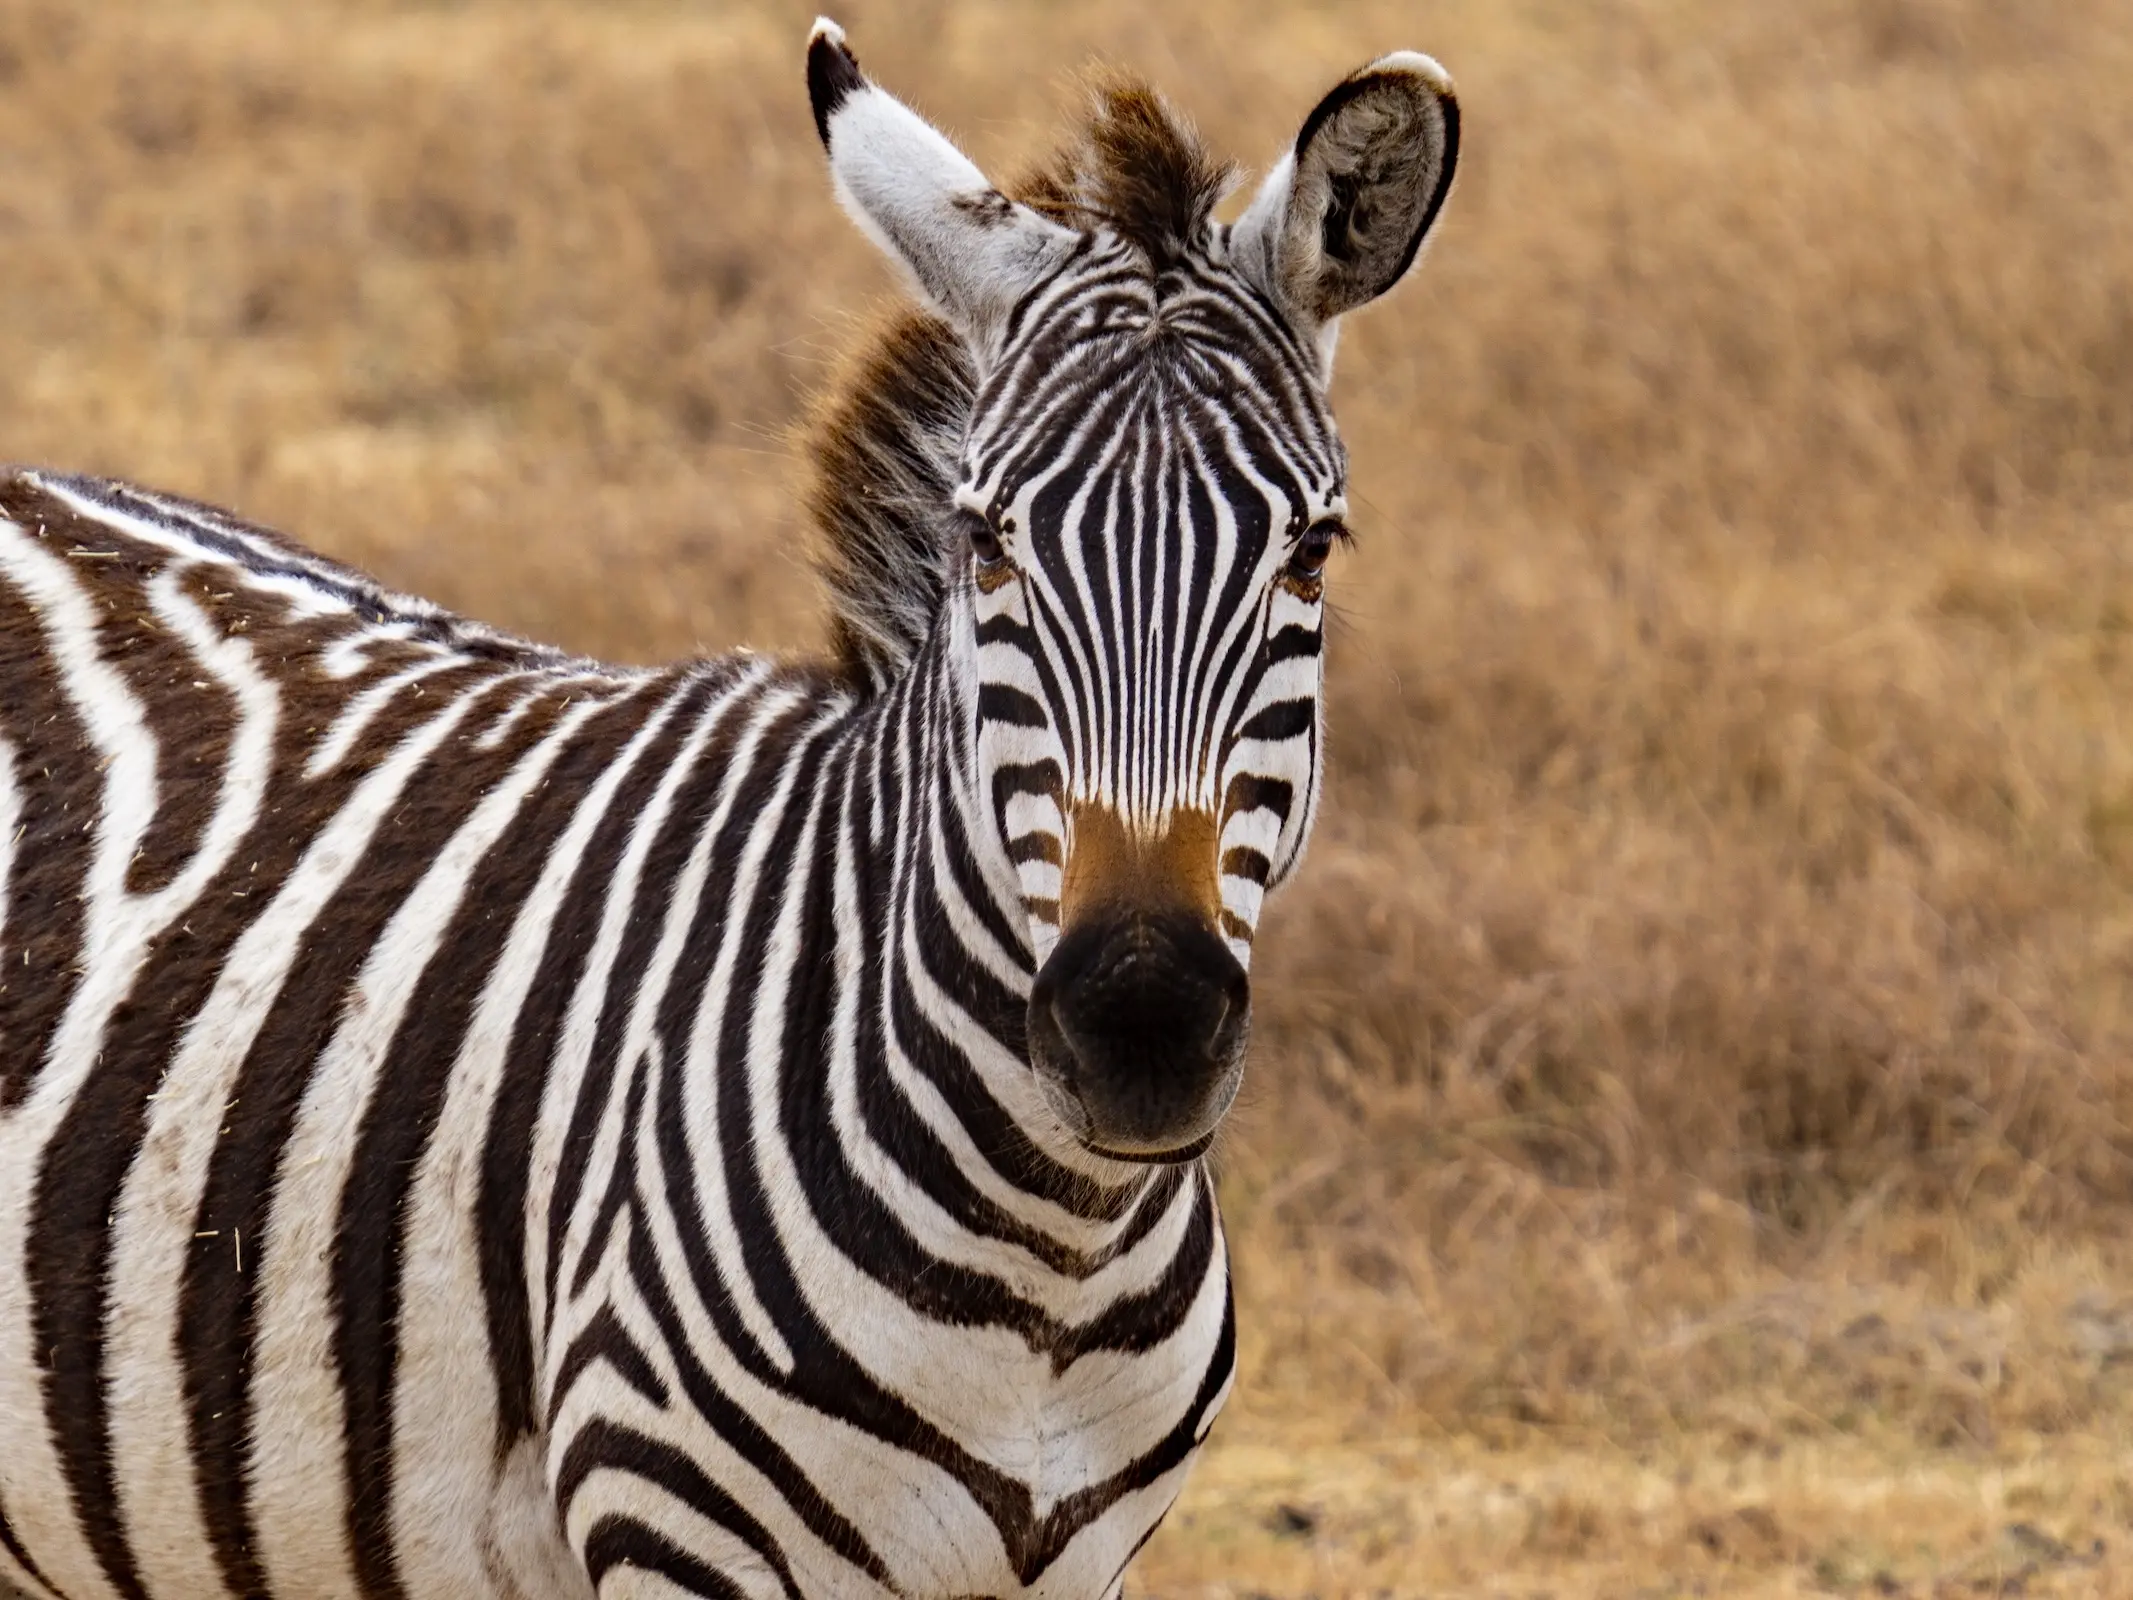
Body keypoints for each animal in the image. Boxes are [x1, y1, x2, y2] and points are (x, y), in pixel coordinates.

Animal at [0, 21, 1450, 1600]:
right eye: (985, 541)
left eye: (1311, 552)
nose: (1142, 1026)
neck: (1050, 1269)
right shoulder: (680, 1535)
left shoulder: (1089, 1567)